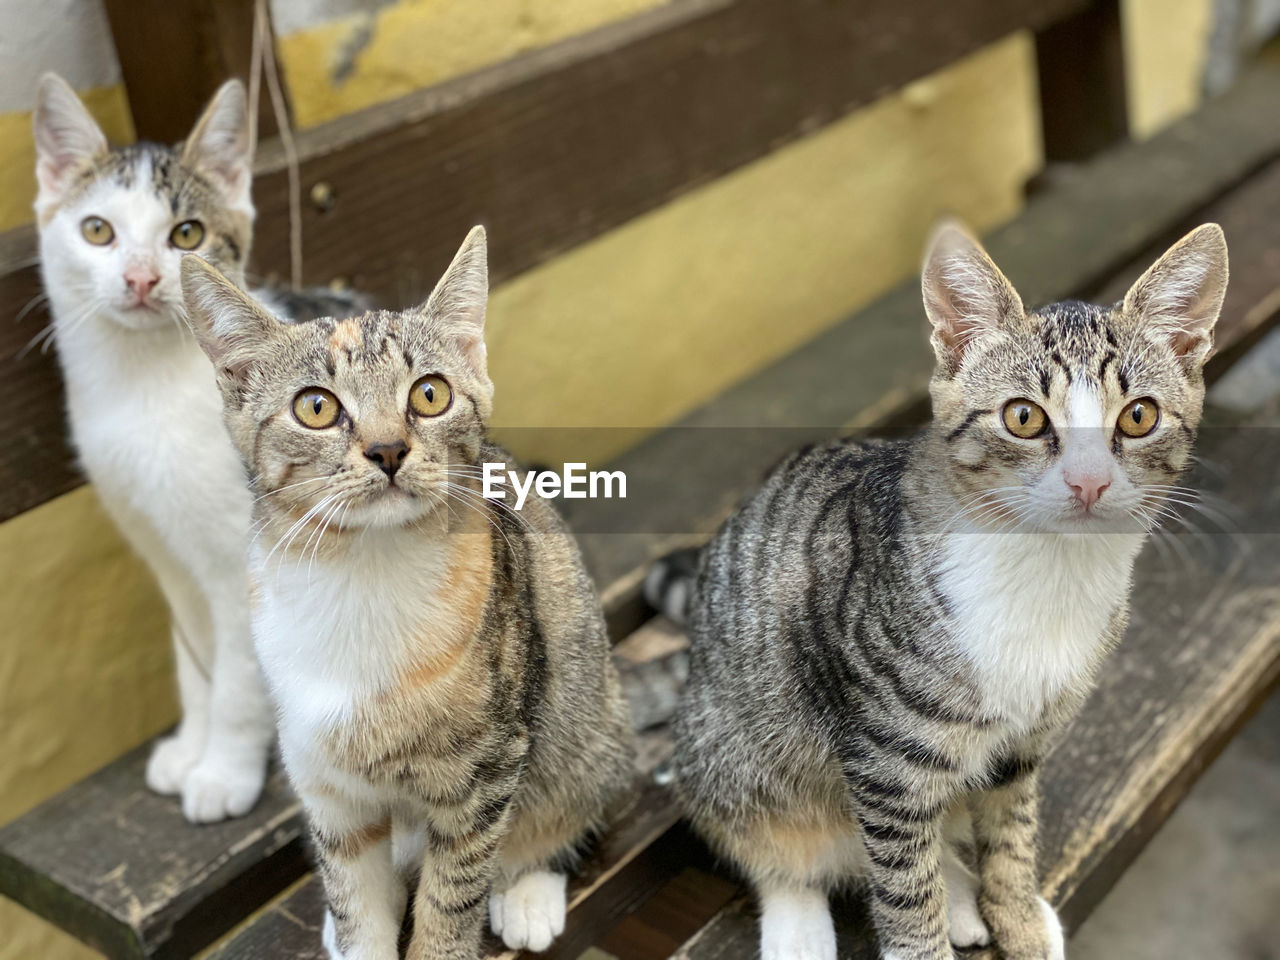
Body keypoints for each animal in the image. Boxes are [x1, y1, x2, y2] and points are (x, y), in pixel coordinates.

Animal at [177, 227, 637, 960]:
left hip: (585, 714)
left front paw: (454, 925)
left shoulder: (486, 770)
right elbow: (353, 887)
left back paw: (528, 888)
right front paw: (355, 927)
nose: (388, 449)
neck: (364, 573)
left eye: (429, 394)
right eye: (315, 407)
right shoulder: (324, 779)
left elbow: (455, 894)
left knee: (565, 800)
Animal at [650, 224, 1228, 960]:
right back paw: (801, 924)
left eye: (1139, 416)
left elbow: (1009, 833)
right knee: (785, 845)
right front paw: (924, 940)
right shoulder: (883, 760)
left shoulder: (1023, 744)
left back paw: (959, 894)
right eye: (1022, 417)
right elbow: (902, 879)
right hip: (732, 753)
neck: (1048, 571)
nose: (1090, 482)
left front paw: (1017, 915)